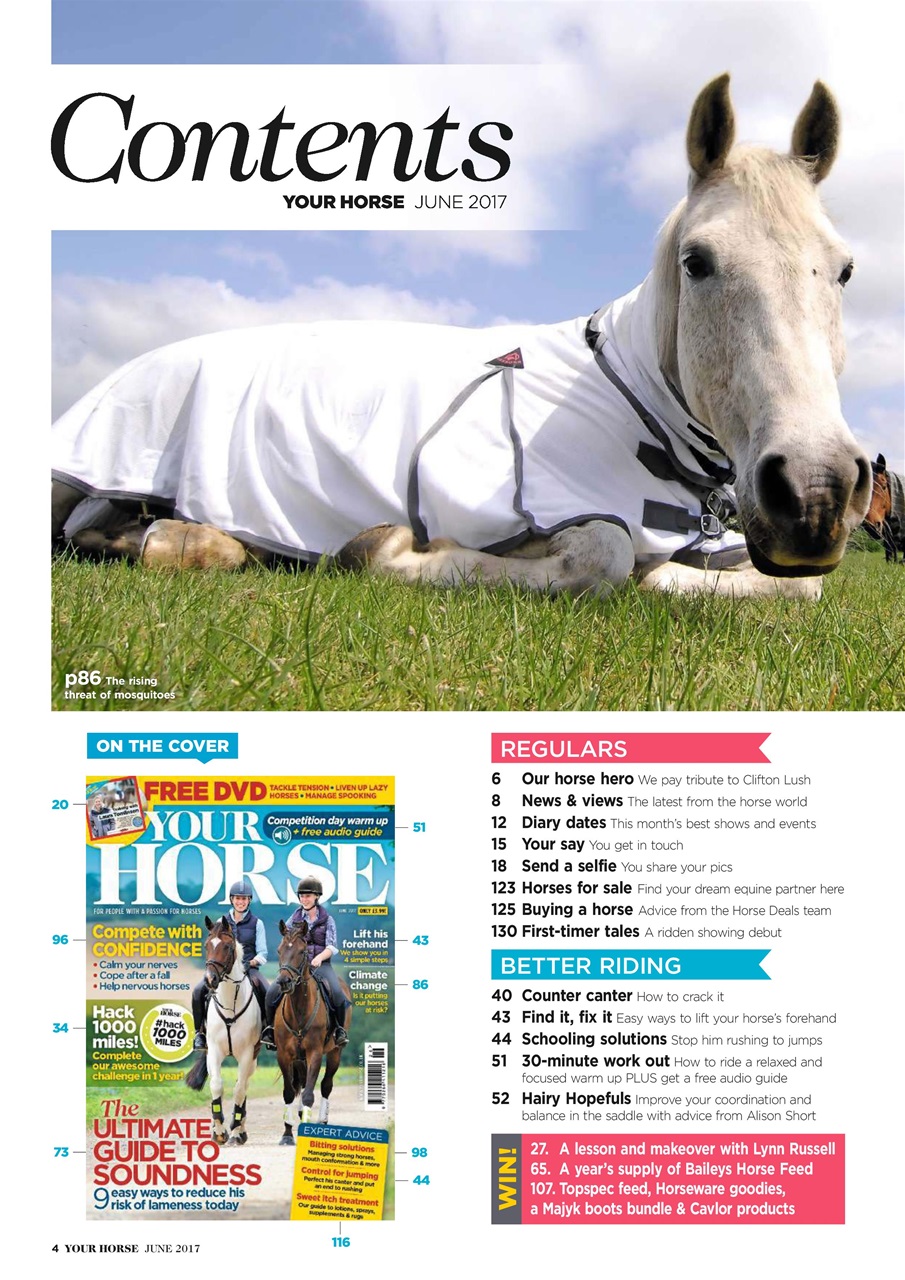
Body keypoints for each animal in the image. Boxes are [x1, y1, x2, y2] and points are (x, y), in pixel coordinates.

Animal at [51, 74, 871, 601]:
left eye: (844, 270)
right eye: (698, 262)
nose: (815, 493)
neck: (631, 397)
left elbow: (788, 590)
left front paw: (668, 576)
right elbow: (602, 558)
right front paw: (381, 549)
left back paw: (189, 542)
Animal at [184, 916, 262, 1146]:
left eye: (227, 947)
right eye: (207, 946)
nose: (210, 979)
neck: (230, 1003)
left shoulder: (246, 1053)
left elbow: (239, 1089)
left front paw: (235, 1130)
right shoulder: (215, 1051)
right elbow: (216, 1085)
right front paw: (218, 1130)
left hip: (253, 1059)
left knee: (244, 1085)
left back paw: (241, 1130)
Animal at [273, 919, 351, 1145]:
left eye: (302, 951)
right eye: (279, 950)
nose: (284, 982)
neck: (299, 1010)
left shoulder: (315, 1052)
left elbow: (309, 1093)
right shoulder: (284, 1055)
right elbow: (289, 1093)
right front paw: (287, 1134)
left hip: (335, 1053)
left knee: (326, 1085)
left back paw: (322, 1121)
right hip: (300, 1059)